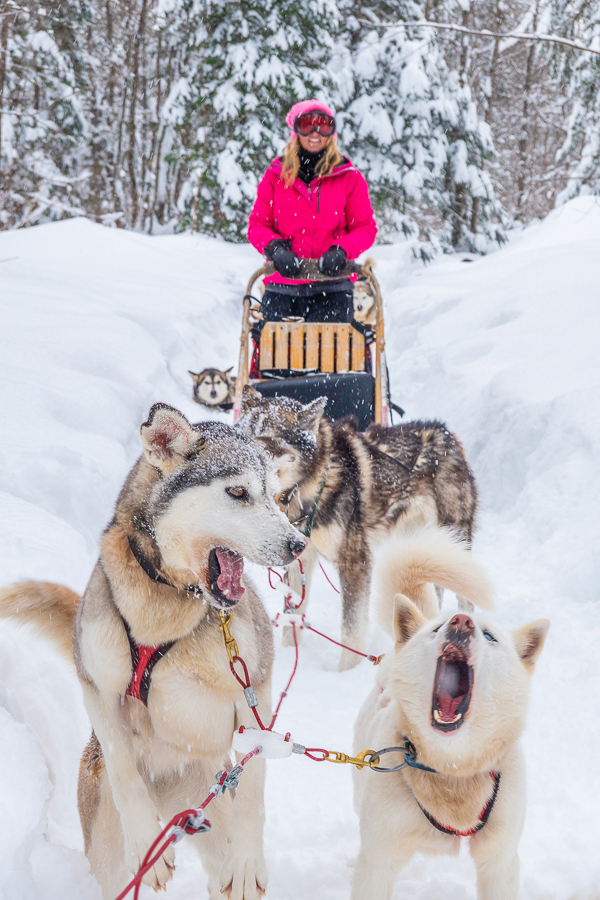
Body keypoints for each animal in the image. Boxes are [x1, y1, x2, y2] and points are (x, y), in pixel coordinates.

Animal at [0, 408, 308, 900]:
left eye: (275, 496)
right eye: (238, 492)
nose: (298, 544)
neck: (166, 605)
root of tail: (171, 796)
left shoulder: (254, 684)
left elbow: (257, 774)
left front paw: (247, 859)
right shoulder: (98, 687)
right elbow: (123, 768)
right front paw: (146, 841)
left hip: (211, 810)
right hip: (107, 852)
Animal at [350, 528, 552, 900]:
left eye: (489, 636)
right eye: (436, 630)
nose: (461, 620)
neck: (453, 771)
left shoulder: (500, 859)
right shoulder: (377, 859)